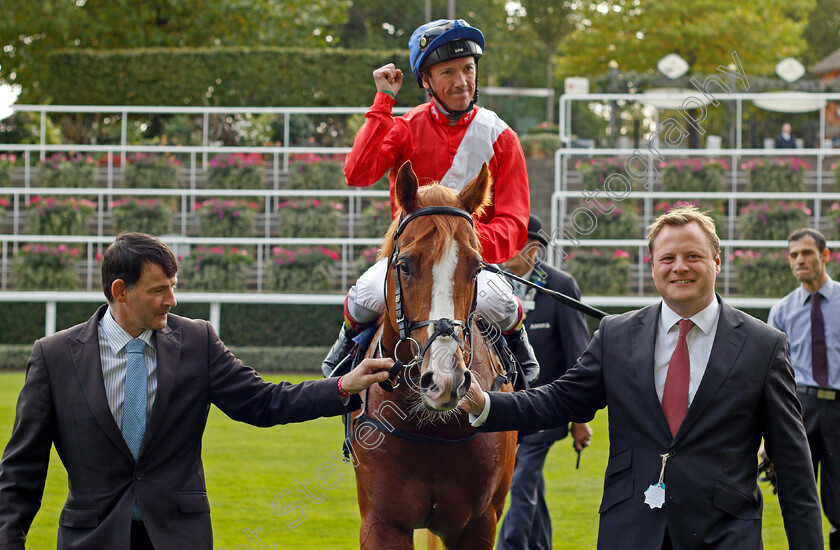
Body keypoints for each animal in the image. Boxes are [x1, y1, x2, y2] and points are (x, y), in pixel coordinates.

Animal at [350, 162, 520, 548]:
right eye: (405, 265)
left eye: (476, 267)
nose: (445, 381)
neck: (430, 429)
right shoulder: (382, 522)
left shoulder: (478, 524)